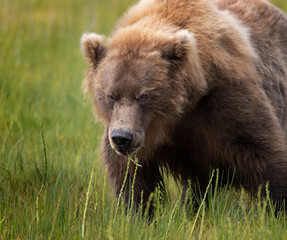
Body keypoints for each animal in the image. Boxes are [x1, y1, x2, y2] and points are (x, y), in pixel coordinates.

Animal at [80, 0, 287, 212]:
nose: (122, 138)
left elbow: (265, 154)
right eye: (110, 96)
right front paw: (138, 211)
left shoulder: (227, 102)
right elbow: (132, 177)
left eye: (144, 96)